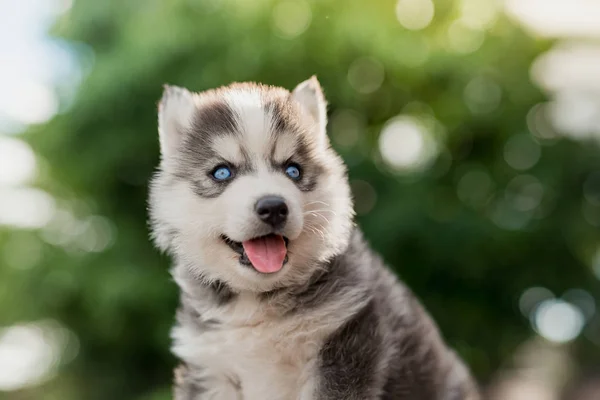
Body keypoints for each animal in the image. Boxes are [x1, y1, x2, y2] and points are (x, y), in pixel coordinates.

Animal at [148, 76, 480, 398]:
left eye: (293, 170)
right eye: (222, 173)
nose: (273, 207)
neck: (259, 302)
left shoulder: (343, 350)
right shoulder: (210, 367)